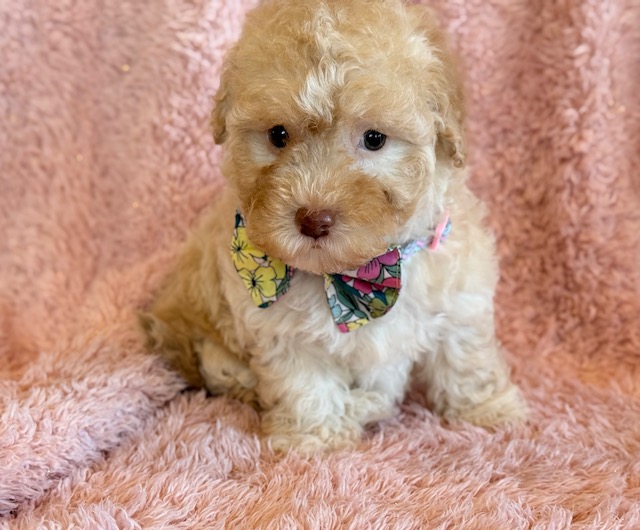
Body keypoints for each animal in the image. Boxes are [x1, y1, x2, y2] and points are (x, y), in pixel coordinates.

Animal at [141, 0, 527, 453]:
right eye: (277, 135)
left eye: (375, 139)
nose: (313, 219)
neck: (360, 274)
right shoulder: (282, 331)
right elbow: (307, 386)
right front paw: (316, 438)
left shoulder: (459, 293)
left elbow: (465, 355)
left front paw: (488, 411)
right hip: (208, 351)